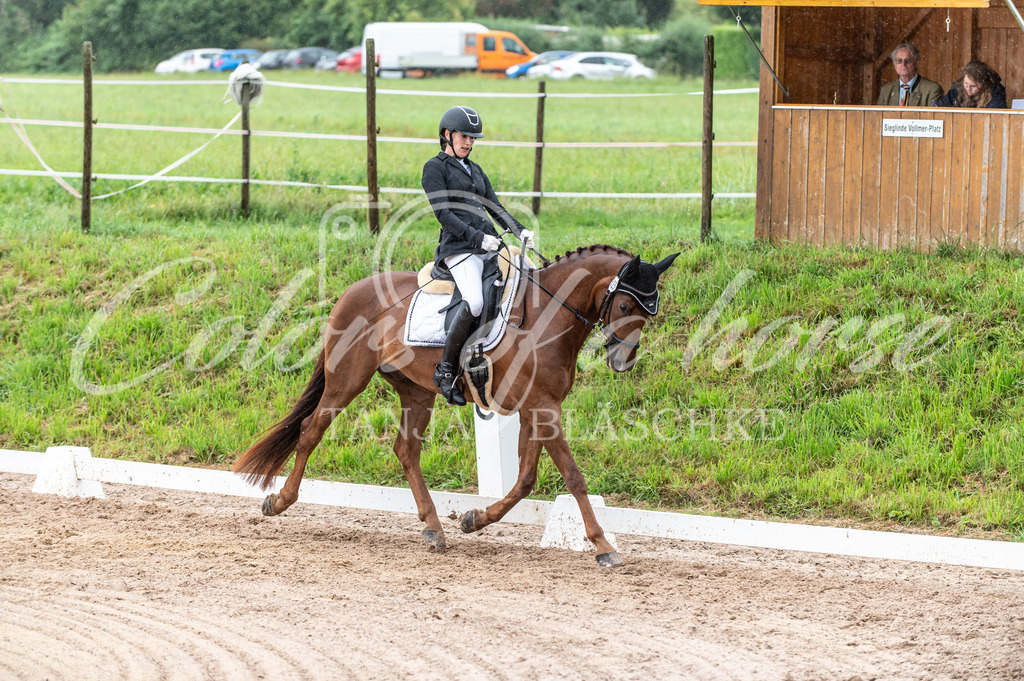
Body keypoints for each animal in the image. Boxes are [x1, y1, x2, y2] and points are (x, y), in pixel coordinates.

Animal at [234, 241, 679, 565]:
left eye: (650, 313)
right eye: (625, 305)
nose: (622, 362)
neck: (546, 317)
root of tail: (350, 291)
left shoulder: (538, 407)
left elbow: (526, 478)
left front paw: (475, 519)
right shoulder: (542, 407)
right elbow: (572, 475)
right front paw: (603, 546)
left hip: (416, 392)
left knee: (406, 449)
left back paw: (434, 528)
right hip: (347, 380)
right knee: (311, 431)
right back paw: (279, 501)